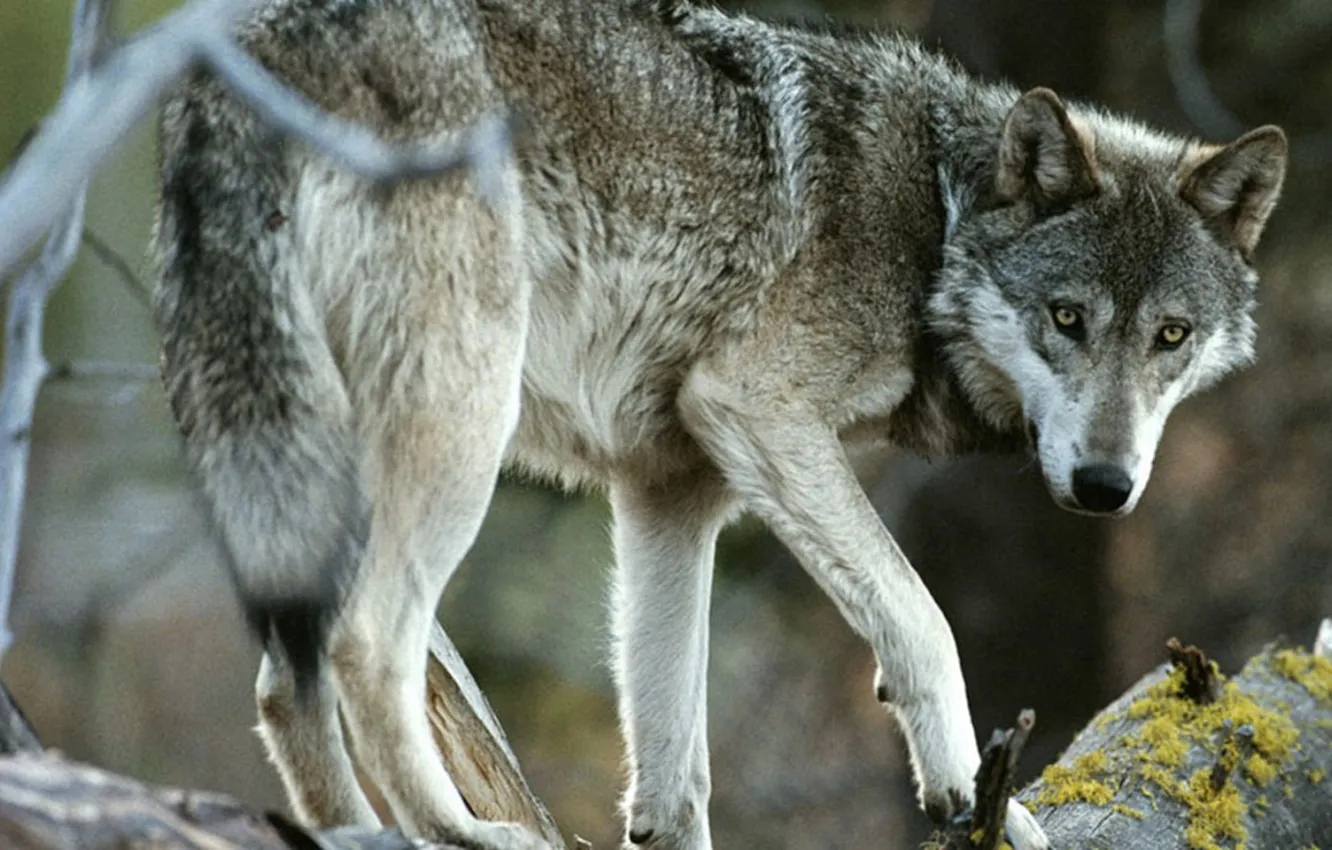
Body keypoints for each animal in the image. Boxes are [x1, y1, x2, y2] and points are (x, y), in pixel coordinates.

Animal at [152, 0, 1287, 847]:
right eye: (1068, 318)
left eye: (1171, 336)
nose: (1105, 487)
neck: (935, 221)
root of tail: (253, 58)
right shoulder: (753, 407)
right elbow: (922, 621)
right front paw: (974, 797)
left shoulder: (671, 493)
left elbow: (674, 771)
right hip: (459, 427)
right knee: (362, 644)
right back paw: (458, 832)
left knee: (283, 681)